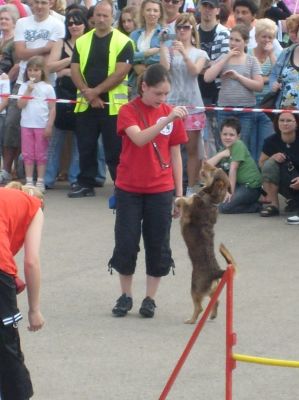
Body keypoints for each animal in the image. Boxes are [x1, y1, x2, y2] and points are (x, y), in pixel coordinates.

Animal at [176, 161, 237, 324]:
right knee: (216, 301)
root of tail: (216, 272)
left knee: (199, 307)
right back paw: (212, 315)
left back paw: (191, 320)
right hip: (212, 290)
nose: (204, 161)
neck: (212, 200)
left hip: (195, 289)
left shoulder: (188, 210)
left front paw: (179, 199)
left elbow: (184, 200)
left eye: (212, 170)